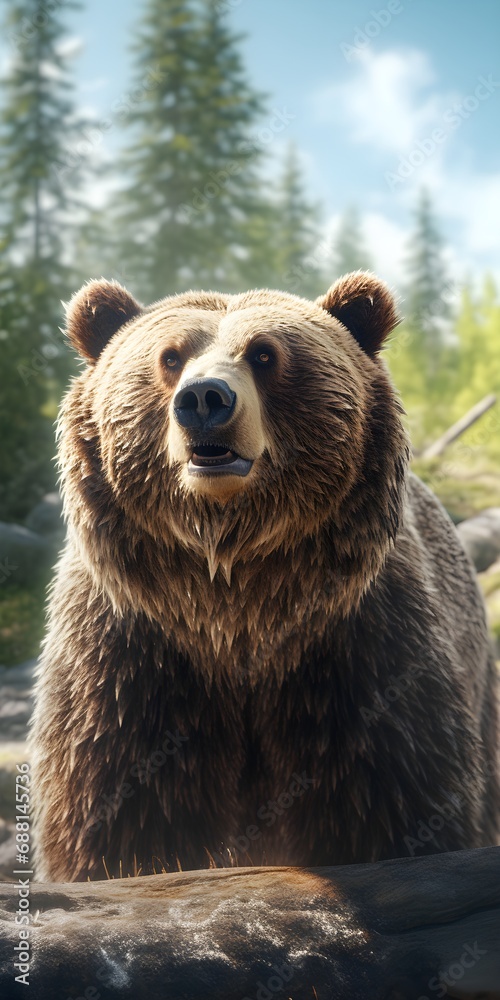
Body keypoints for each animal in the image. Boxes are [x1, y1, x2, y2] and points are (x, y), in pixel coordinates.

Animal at [30, 271, 499, 882]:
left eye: (264, 354)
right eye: (170, 356)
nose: (205, 399)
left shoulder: (361, 652)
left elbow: (398, 796)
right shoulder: (130, 661)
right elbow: (118, 819)